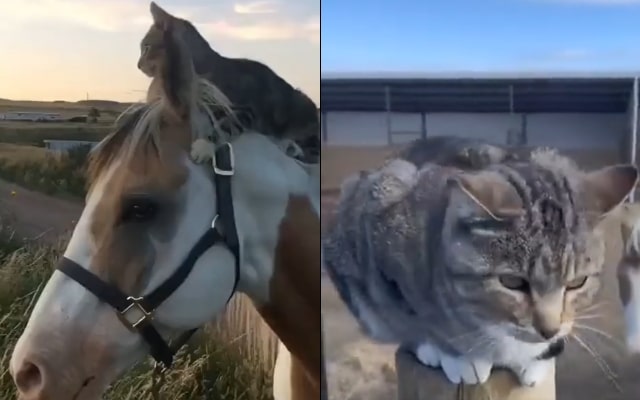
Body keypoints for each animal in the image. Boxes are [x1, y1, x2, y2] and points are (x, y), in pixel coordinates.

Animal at [140, 1, 320, 161]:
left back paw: (290, 146)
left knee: (312, 148)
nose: (138, 64)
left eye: (146, 47)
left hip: (301, 104)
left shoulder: (247, 108)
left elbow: (225, 125)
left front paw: (205, 145)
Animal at [322, 139, 636, 386]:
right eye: (512, 282)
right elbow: (414, 317)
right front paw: (457, 356)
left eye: (577, 282)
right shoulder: (383, 249)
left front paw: (538, 360)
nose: (549, 330)